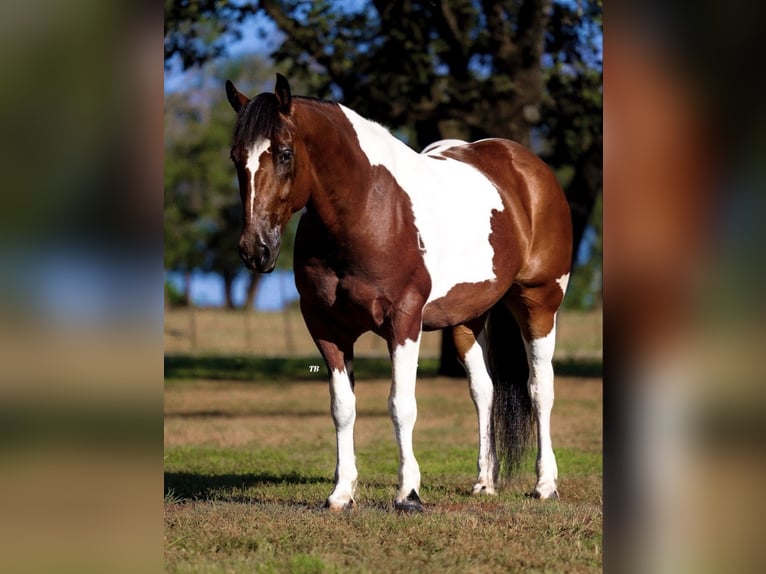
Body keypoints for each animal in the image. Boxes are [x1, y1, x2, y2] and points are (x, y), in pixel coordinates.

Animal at [225, 73, 572, 512]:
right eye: (236, 157)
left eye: (285, 154)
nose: (255, 250)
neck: (367, 210)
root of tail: (528, 167)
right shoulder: (326, 328)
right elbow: (342, 407)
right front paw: (341, 493)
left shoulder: (404, 321)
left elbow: (401, 406)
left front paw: (408, 493)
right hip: (467, 319)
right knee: (484, 391)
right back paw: (484, 482)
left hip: (539, 303)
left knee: (540, 388)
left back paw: (545, 484)